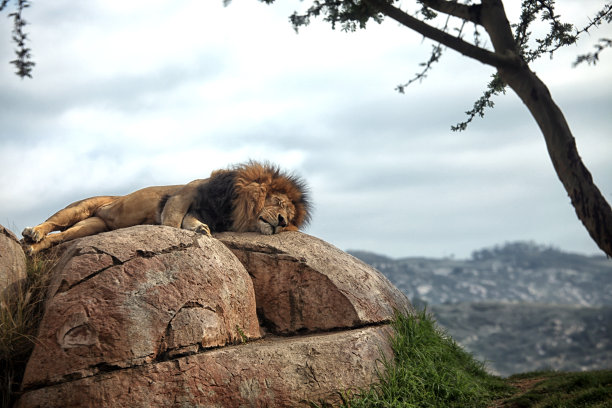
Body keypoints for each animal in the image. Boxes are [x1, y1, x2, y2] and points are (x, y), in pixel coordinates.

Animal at [22, 161, 310, 253]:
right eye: (279, 203)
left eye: (290, 216)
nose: (282, 222)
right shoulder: (181, 196)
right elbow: (172, 221)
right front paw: (173, 238)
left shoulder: (198, 211)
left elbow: (190, 222)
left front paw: (201, 232)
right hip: (80, 207)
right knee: (54, 222)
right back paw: (32, 232)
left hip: (92, 226)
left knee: (62, 237)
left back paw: (32, 247)